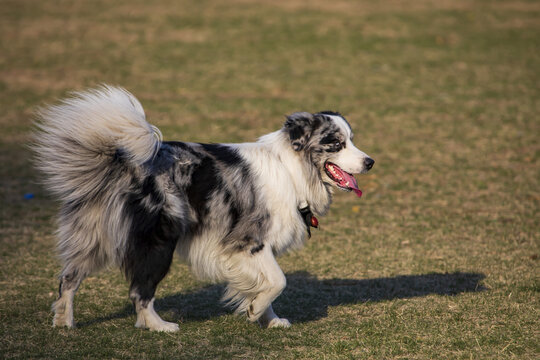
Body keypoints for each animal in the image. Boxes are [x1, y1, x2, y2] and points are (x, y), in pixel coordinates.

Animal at [32, 86, 372, 332]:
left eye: (353, 140)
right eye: (336, 143)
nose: (370, 161)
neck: (293, 168)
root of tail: (122, 161)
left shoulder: (251, 251)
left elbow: (264, 283)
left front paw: (270, 319)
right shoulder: (248, 241)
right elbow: (278, 281)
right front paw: (255, 312)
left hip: (94, 237)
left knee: (69, 278)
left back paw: (63, 322)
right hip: (158, 242)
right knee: (140, 291)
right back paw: (159, 326)